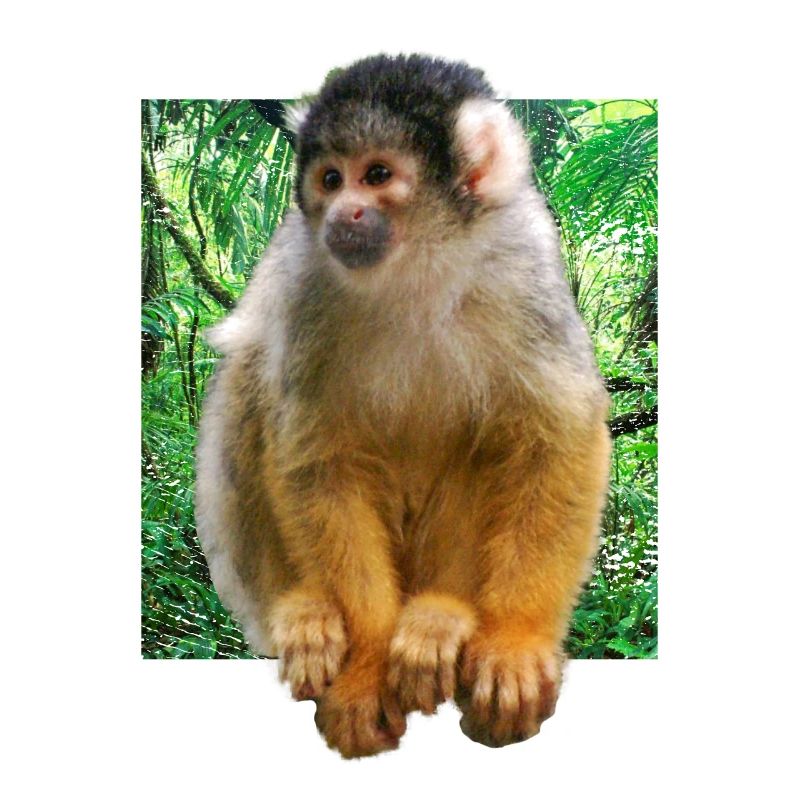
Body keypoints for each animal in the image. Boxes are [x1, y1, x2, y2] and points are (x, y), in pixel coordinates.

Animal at [195, 54, 610, 757]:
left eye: (378, 175)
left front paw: (515, 640)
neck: (417, 267)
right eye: (330, 179)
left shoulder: (522, 268)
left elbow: (556, 439)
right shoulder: (306, 282)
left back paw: (442, 616)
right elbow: (318, 460)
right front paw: (365, 667)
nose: (344, 213)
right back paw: (301, 611)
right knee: (251, 370)